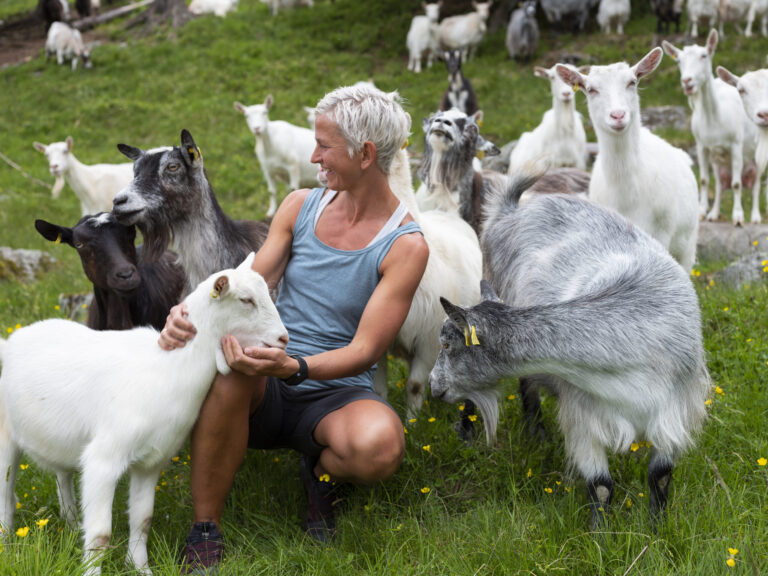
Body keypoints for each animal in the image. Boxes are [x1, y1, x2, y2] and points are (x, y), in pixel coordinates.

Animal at [0, 254, 288, 576]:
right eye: (245, 299)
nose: (283, 339)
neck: (167, 367)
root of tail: (11, 342)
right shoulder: (104, 459)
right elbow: (100, 534)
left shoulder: (151, 462)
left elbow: (143, 520)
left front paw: (140, 568)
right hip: (5, 435)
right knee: (6, 496)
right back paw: (6, 543)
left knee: (63, 478)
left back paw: (72, 525)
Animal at [428, 174, 712, 532]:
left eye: (446, 344)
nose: (433, 385)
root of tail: (510, 211)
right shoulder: (584, 414)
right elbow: (601, 485)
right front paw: (600, 536)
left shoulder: (673, 411)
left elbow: (660, 476)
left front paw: (656, 531)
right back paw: (472, 433)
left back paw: (534, 434)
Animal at [556, 48, 700, 272]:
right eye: (590, 89)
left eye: (632, 82)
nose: (618, 115)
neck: (628, 198)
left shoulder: (662, 233)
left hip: (688, 243)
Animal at [660, 28, 760, 225]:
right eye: (678, 60)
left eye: (704, 55)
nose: (687, 81)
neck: (716, 118)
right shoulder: (702, 146)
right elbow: (705, 180)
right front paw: (701, 212)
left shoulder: (736, 145)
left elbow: (736, 184)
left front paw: (738, 217)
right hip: (718, 162)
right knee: (721, 184)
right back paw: (714, 214)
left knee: (756, 184)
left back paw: (755, 216)